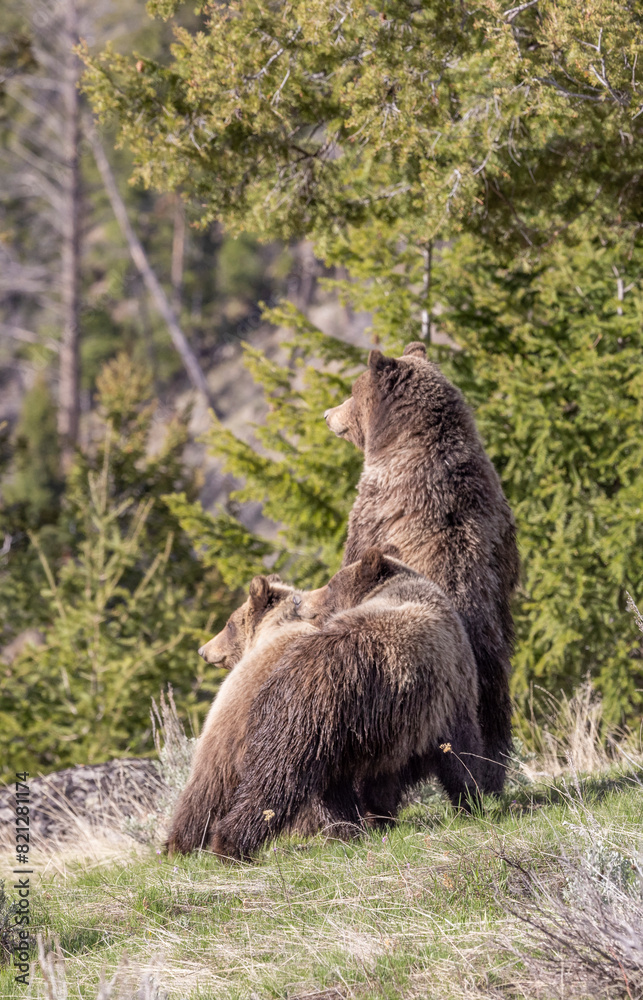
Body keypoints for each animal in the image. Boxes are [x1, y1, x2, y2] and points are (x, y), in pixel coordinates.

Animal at [210, 547, 483, 860]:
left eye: (329, 584)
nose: (298, 599)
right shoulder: (444, 695)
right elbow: (460, 751)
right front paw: (470, 799)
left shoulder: (393, 728)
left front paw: (380, 817)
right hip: (313, 722)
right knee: (275, 779)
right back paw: (230, 844)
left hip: (327, 733)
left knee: (318, 784)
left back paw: (346, 829)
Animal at [323, 342, 519, 794]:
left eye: (350, 391)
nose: (327, 414)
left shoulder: (375, 508)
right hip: (491, 668)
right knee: (494, 722)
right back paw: (493, 775)